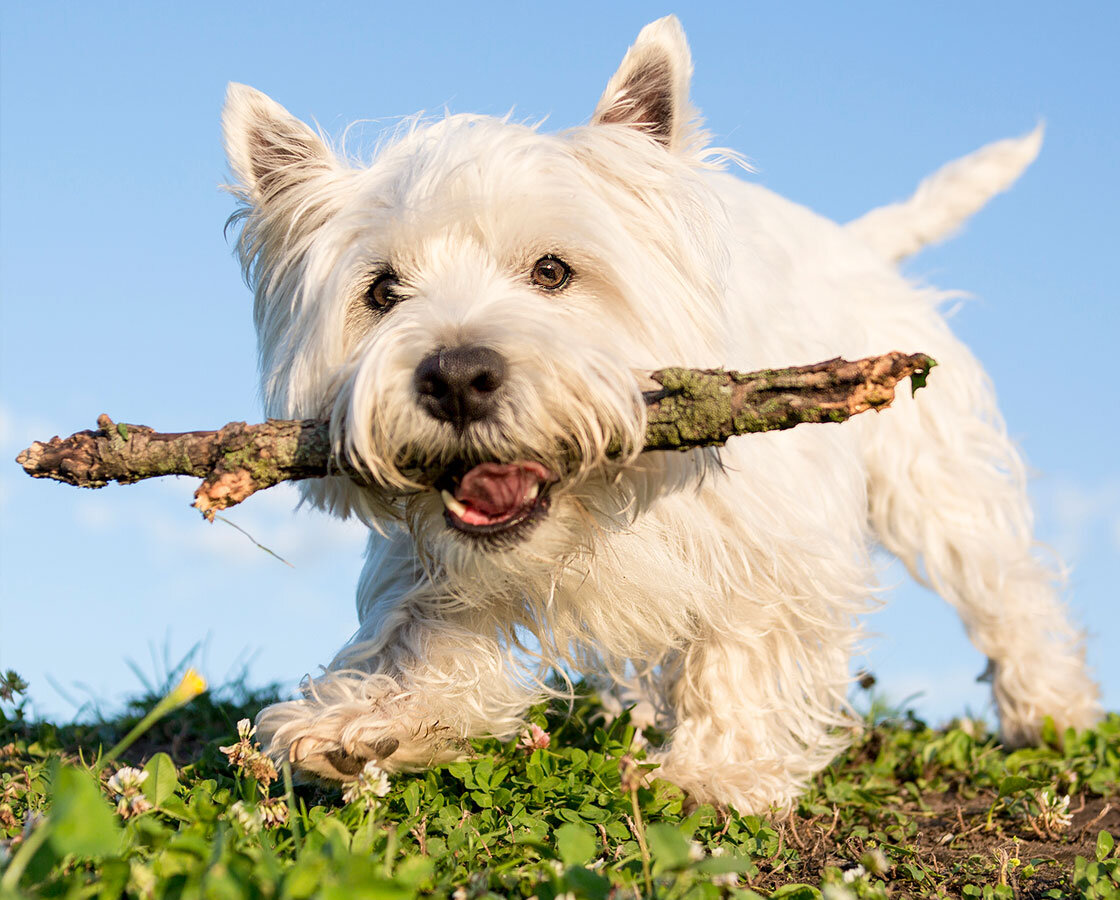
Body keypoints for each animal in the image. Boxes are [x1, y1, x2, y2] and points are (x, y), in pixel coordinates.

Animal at [220, 17, 1102, 810]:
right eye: (382, 291)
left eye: (552, 270)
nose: (459, 378)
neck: (593, 508)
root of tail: (855, 243)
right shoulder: (435, 559)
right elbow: (419, 628)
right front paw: (369, 721)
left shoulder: (775, 542)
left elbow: (744, 641)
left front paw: (716, 773)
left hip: (933, 475)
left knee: (1004, 584)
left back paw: (1051, 709)